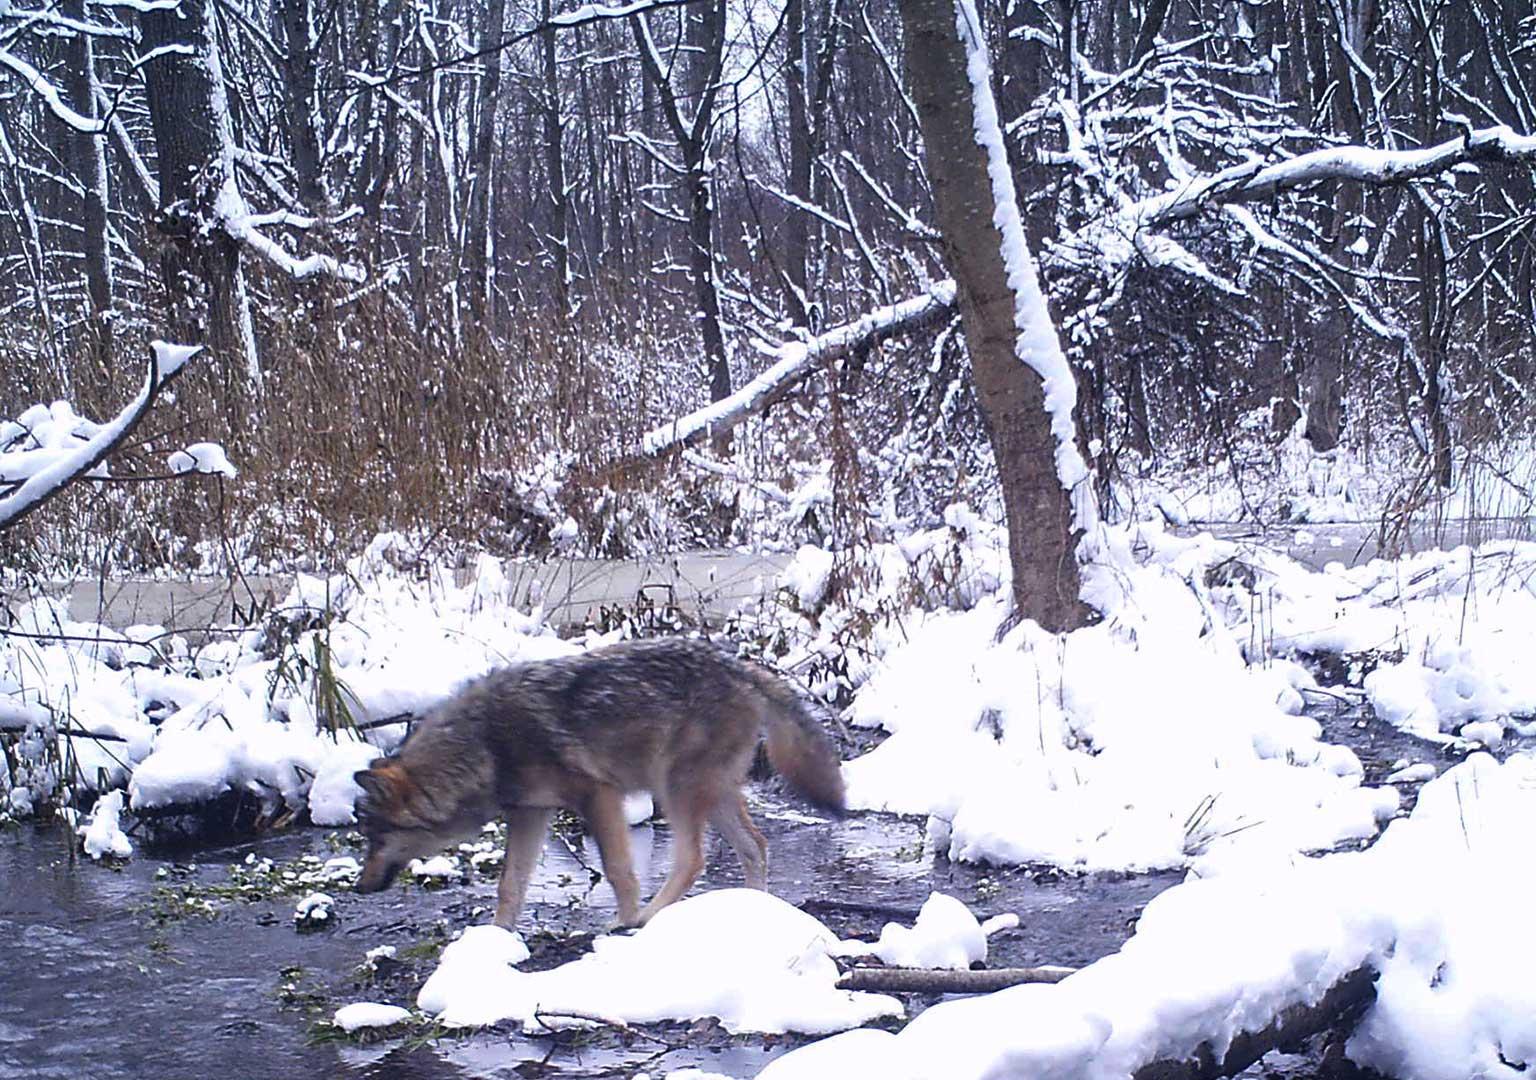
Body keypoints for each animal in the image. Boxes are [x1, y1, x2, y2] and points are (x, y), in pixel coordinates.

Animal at [351, 642, 847, 927]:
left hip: (676, 789)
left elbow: (618, 872)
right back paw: (755, 914)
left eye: (375, 837)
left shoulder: (597, 796)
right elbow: (510, 886)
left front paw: (619, 926)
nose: (358, 887)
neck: (485, 744)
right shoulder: (530, 813)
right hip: (710, 792)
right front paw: (493, 945)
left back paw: (643, 920)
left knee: (693, 859)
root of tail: (741, 667)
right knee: (756, 846)